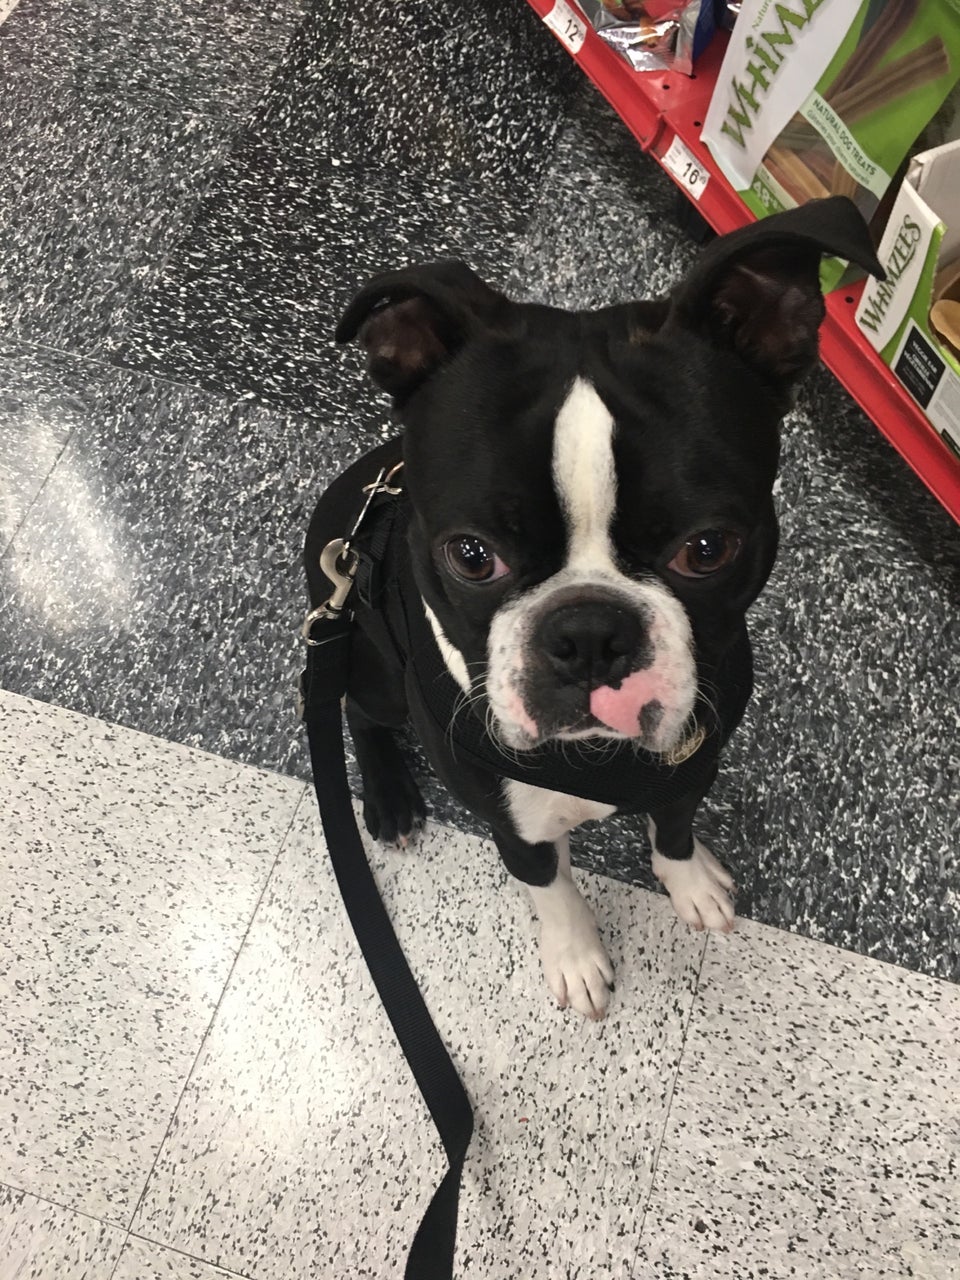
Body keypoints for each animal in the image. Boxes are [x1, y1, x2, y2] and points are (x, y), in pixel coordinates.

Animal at [305, 197, 882, 1020]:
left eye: (708, 549)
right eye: (471, 555)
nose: (587, 635)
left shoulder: (691, 764)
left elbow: (674, 827)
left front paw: (690, 882)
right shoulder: (513, 824)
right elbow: (551, 887)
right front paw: (577, 958)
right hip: (370, 662)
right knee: (357, 711)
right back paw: (389, 798)